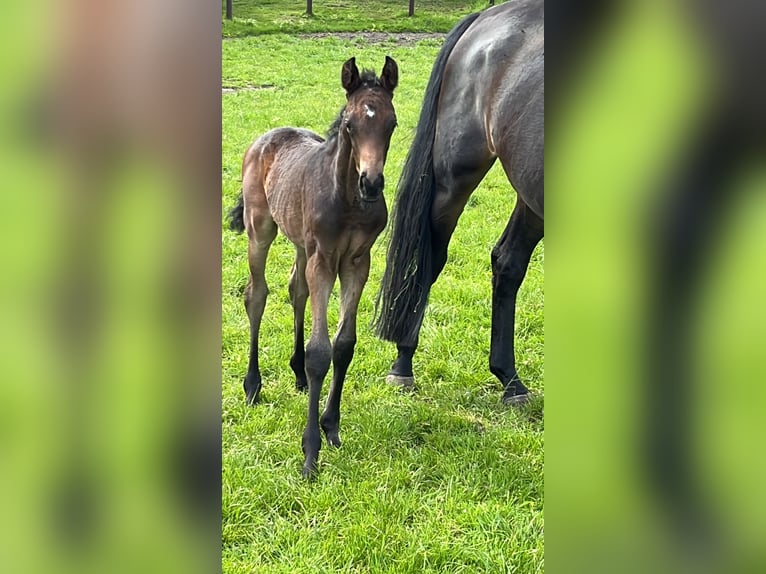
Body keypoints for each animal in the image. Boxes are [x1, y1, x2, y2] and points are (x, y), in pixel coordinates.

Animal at [228, 56, 400, 480]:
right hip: (261, 228)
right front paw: (310, 452)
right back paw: (252, 385)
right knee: (256, 295)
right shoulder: (324, 260)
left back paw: (297, 372)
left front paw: (331, 425)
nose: (371, 183)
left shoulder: (357, 262)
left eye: (391, 124)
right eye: (350, 125)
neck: (348, 200)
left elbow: (344, 345)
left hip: (301, 243)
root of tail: (267, 136)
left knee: (296, 290)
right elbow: (320, 351)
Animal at [374, 1, 544, 404]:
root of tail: (485, 16)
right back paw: (403, 364)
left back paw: (510, 381)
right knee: (429, 260)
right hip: (455, 175)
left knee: (508, 261)